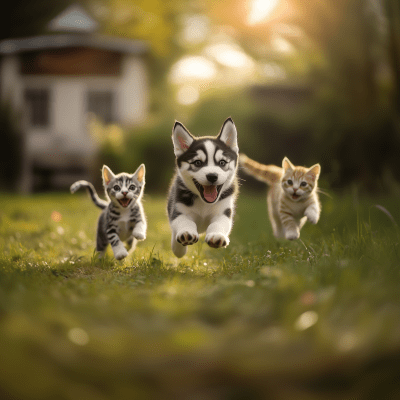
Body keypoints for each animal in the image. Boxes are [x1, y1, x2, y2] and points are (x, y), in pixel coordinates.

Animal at [167, 117, 239, 258]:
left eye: (222, 162)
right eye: (198, 163)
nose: (212, 176)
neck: (204, 204)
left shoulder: (223, 211)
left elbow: (219, 224)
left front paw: (217, 235)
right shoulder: (179, 209)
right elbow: (184, 221)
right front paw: (185, 235)